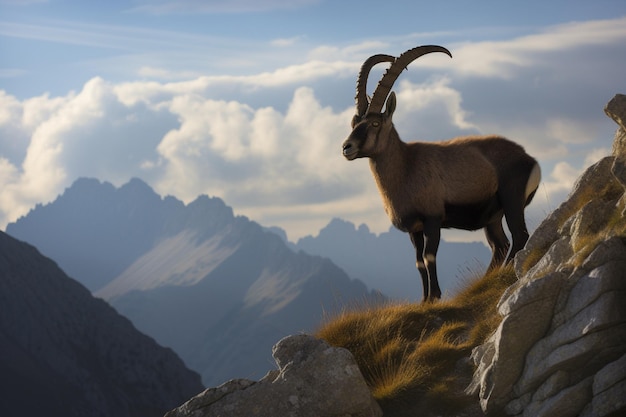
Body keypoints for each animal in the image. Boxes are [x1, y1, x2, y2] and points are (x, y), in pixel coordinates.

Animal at [338, 44, 540, 300]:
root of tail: (530, 160)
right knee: (500, 244)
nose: (347, 147)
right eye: (354, 122)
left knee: (519, 236)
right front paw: (425, 300)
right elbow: (418, 263)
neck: (406, 168)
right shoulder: (414, 229)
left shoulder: (432, 219)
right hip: (493, 215)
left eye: (375, 123)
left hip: (512, 199)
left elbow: (429, 257)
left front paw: (435, 296)